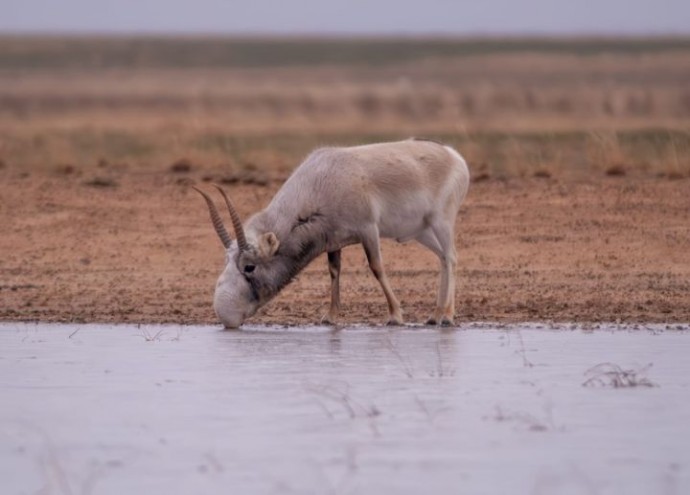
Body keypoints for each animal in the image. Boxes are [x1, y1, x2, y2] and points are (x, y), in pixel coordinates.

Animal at [194, 139, 468, 330]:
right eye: (226, 261)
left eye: (249, 266)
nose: (226, 315)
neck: (321, 181)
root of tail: (454, 156)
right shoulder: (334, 241)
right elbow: (334, 271)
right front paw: (330, 317)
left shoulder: (369, 230)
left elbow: (376, 267)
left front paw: (395, 316)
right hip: (422, 232)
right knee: (443, 259)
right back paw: (435, 315)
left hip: (441, 221)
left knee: (452, 257)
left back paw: (447, 317)